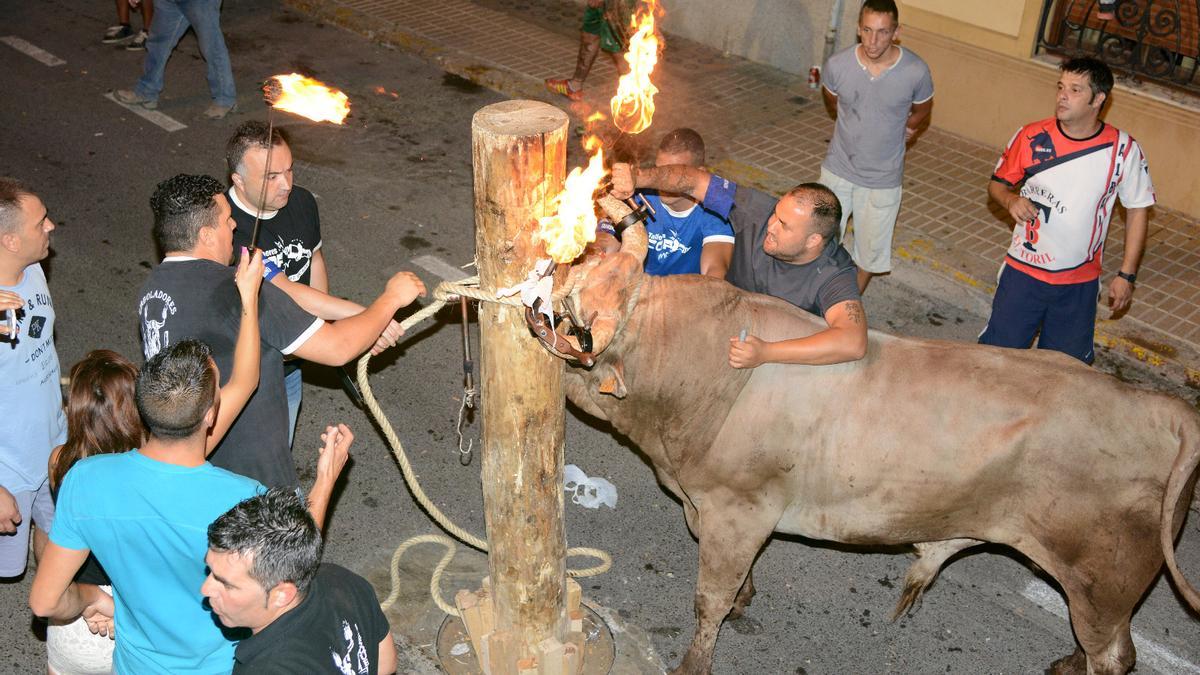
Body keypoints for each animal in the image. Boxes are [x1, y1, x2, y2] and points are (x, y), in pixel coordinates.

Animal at [552, 216, 1200, 672]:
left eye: (567, 315)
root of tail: (1165, 408)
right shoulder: (707, 504)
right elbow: (732, 585)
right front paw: (745, 600)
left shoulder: (737, 509)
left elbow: (709, 598)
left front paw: (696, 660)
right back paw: (1064, 662)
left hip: (1103, 579)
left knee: (1112, 651)